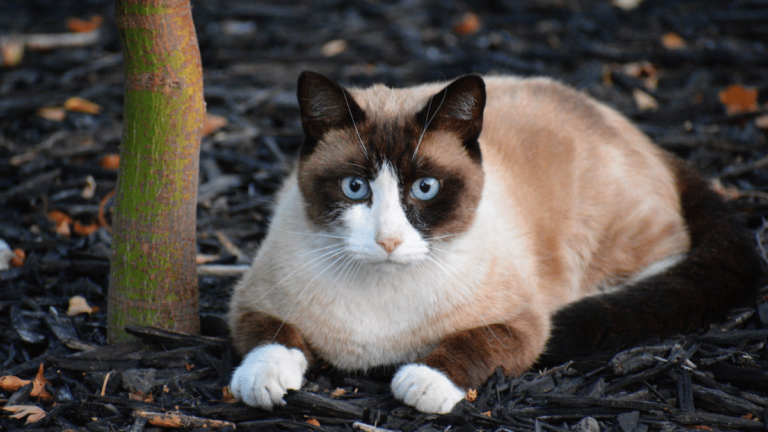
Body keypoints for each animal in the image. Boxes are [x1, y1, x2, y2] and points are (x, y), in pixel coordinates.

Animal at [224, 70, 760, 412]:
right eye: (355, 187)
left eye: (425, 188)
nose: (389, 240)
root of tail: (645, 137)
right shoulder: (250, 301)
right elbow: (271, 336)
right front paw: (262, 381)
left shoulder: (522, 325)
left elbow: (472, 345)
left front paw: (423, 381)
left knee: (666, 265)